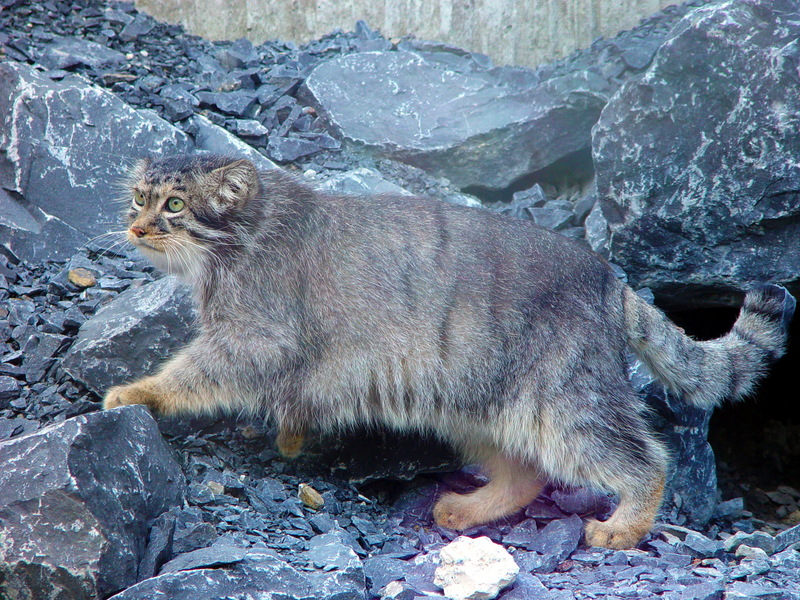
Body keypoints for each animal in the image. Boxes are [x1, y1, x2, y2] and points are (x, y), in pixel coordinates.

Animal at [104, 154, 792, 548]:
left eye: (174, 205)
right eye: (138, 197)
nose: (134, 227)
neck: (244, 236)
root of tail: (609, 278)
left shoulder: (253, 334)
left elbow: (193, 371)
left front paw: (138, 392)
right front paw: (292, 435)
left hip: (566, 399)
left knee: (643, 458)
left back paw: (624, 526)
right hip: (472, 401)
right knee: (524, 472)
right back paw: (470, 510)